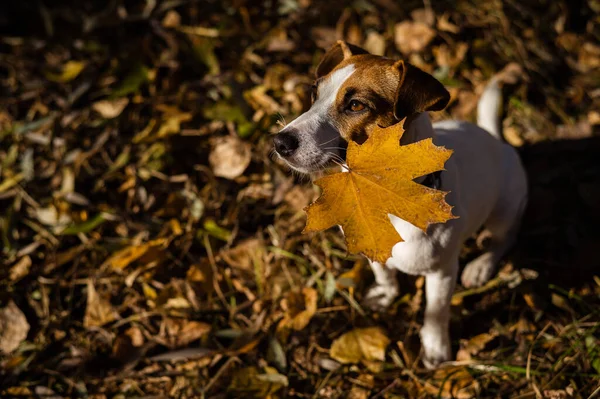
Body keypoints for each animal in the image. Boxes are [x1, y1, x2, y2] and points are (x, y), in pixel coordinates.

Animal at [270, 41, 524, 368]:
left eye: (356, 106)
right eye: (314, 93)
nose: (279, 142)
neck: (380, 193)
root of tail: (496, 140)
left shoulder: (442, 273)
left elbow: (436, 312)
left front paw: (435, 347)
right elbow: (383, 272)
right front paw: (385, 293)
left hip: (503, 208)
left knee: (505, 239)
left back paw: (481, 266)